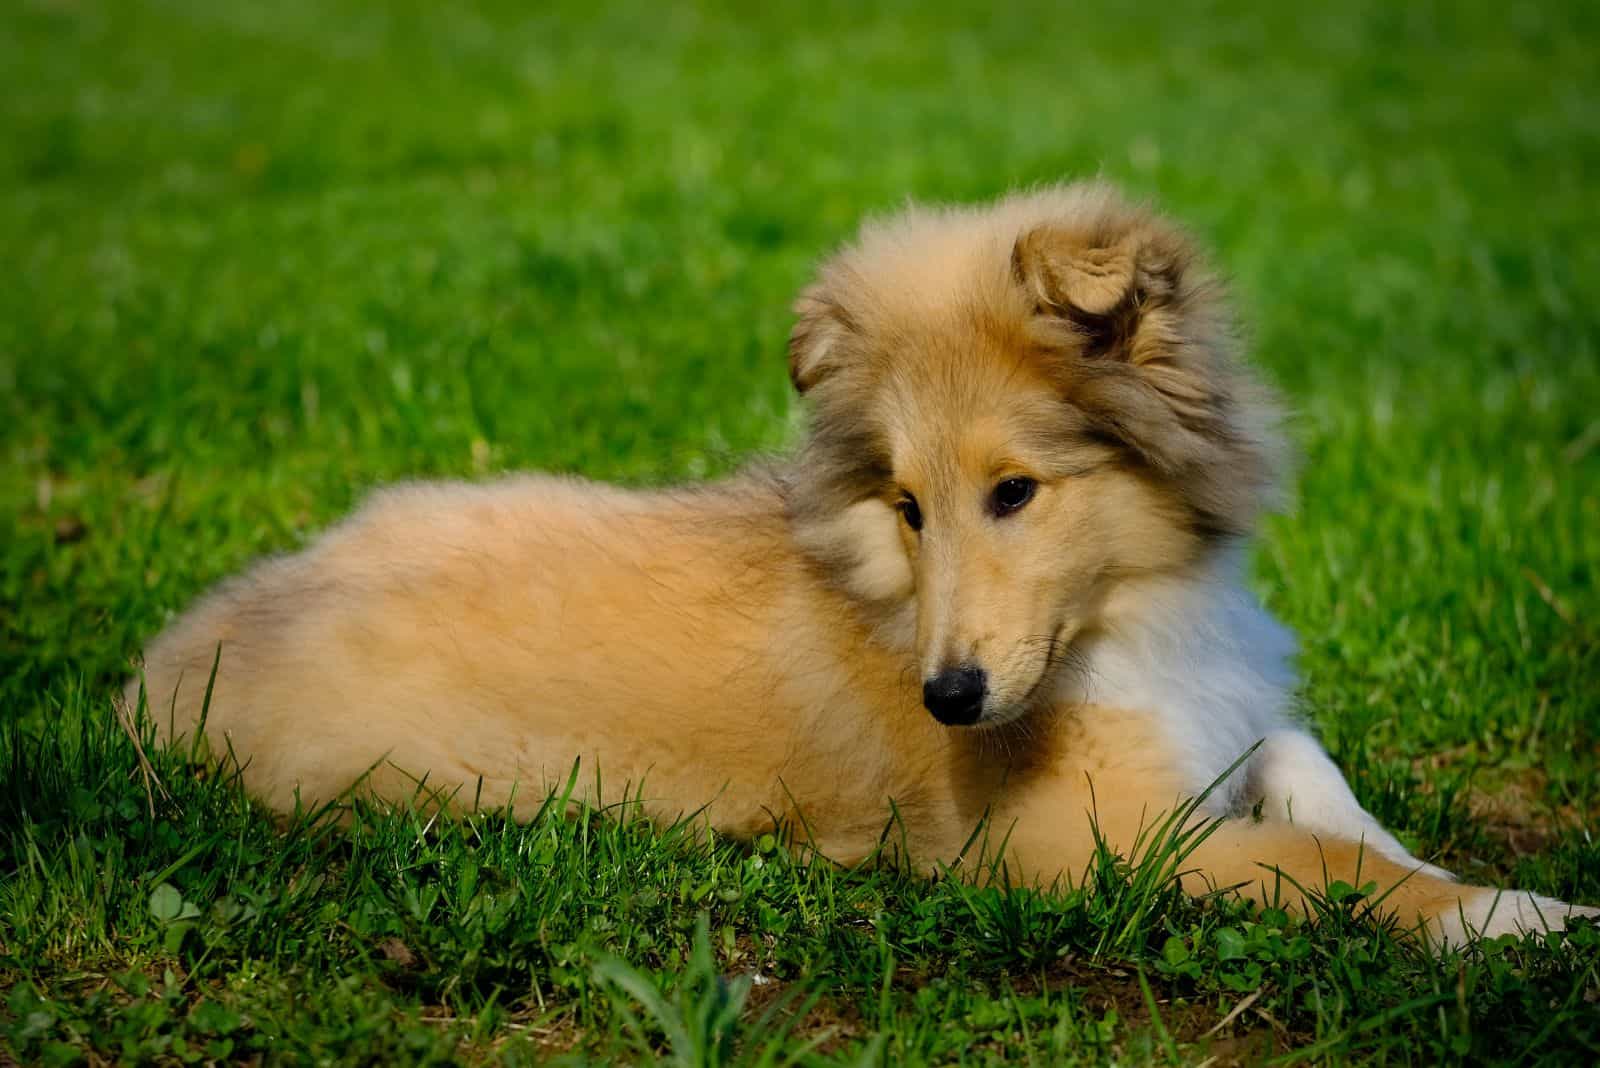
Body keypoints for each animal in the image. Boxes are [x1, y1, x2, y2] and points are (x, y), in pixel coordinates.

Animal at [128, 181, 1600, 940]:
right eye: (903, 503)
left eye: (1015, 491)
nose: (950, 702)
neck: (1132, 616)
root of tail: (159, 672)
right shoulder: (1083, 848)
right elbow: (1315, 863)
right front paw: (1512, 918)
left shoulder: (1231, 724)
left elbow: (1311, 774)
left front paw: (1475, 877)